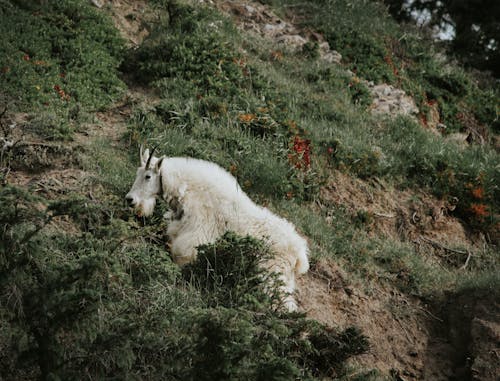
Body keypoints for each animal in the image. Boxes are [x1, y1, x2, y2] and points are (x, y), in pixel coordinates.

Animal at [125, 145, 308, 308]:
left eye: (148, 176)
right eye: (137, 173)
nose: (130, 199)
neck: (187, 190)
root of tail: (299, 252)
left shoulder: (194, 237)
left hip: (273, 273)